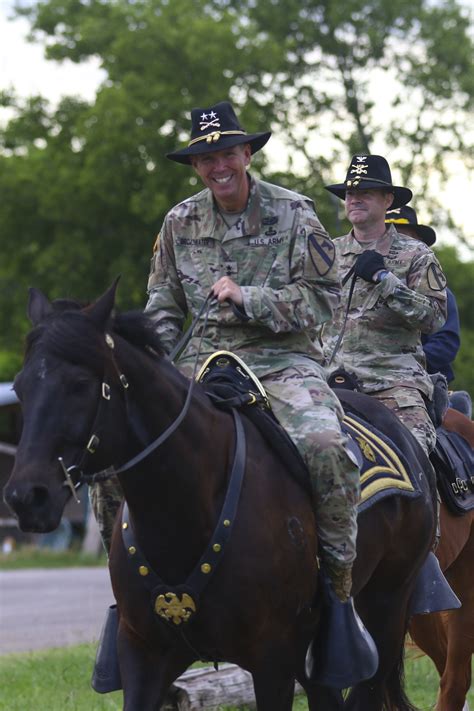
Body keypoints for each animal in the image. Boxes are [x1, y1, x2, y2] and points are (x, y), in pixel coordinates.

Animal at [4, 286, 436, 711]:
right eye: (21, 386)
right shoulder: (144, 655)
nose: (27, 496)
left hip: (385, 609)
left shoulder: (273, 660)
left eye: (80, 384)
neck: (186, 509)